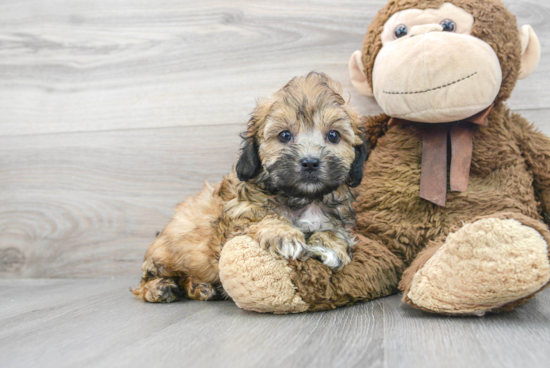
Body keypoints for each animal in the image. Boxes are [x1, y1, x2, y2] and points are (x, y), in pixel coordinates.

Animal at [132, 73, 368, 304]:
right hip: (166, 253)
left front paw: (331, 245)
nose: (310, 162)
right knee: (147, 280)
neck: (302, 198)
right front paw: (285, 236)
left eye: (334, 135)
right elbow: (262, 217)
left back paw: (200, 287)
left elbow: (336, 230)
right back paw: (160, 288)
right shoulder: (237, 217)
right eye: (284, 135)